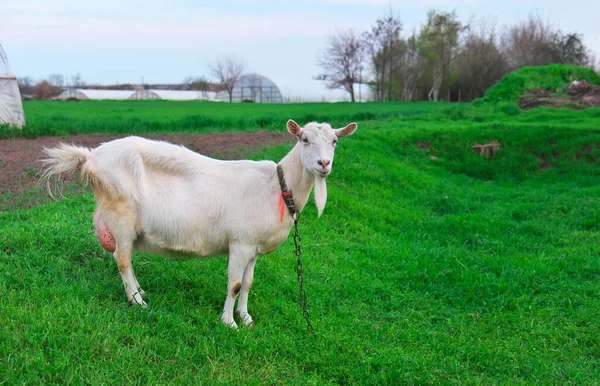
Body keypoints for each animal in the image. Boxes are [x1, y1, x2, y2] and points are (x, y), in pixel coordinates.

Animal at [41, 119, 356, 328]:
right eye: (304, 139)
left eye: (335, 141)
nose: (324, 164)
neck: (276, 186)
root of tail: (91, 157)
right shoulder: (240, 243)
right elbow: (235, 284)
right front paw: (229, 322)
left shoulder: (253, 247)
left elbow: (249, 283)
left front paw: (246, 317)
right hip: (121, 217)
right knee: (122, 259)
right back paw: (137, 301)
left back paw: (140, 292)